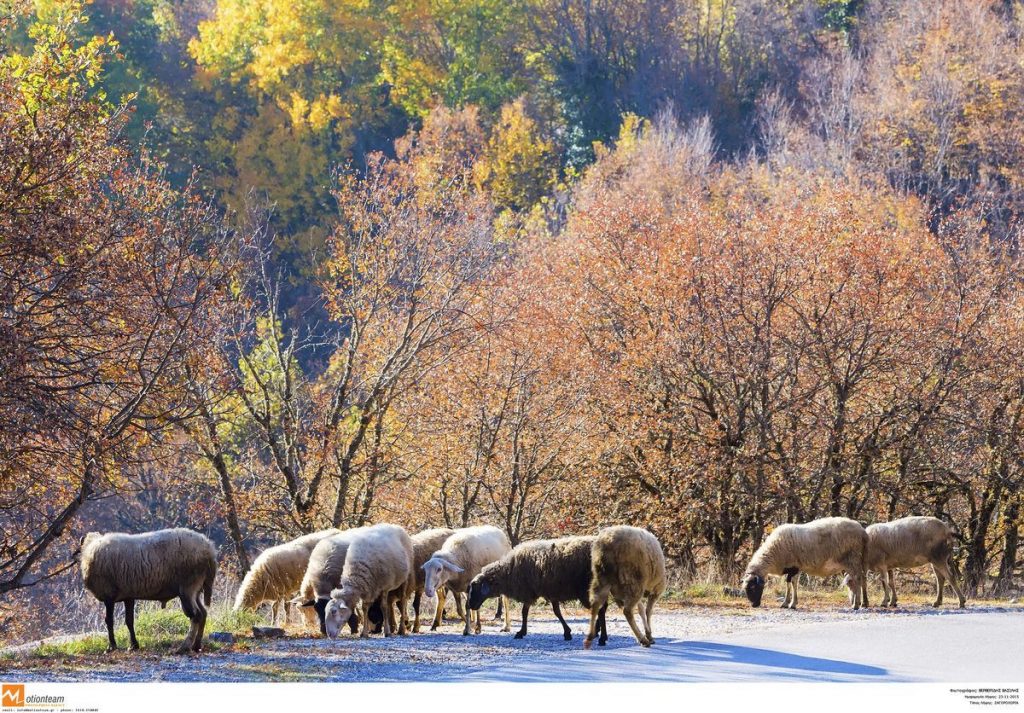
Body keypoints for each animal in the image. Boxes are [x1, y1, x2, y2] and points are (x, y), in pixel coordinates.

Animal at [78, 524, 218, 655]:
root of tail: (209, 549)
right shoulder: (128, 596)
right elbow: (129, 621)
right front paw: (133, 645)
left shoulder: (109, 595)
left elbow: (109, 621)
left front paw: (111, 646)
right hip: (196, 589)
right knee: (203, 613)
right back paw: (196, 645)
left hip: (188, 587)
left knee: (196, 615)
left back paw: (184, 647)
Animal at [466, 536, 602, 643]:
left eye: (476, 587)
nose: (470, 605)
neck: (509, 571)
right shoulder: (546, 592)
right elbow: (552, 612)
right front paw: (567, 632)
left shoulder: (532, 592)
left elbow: (527, 612)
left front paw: (521, 632)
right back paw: (597, 631)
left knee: (599, 608)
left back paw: (597, 632)